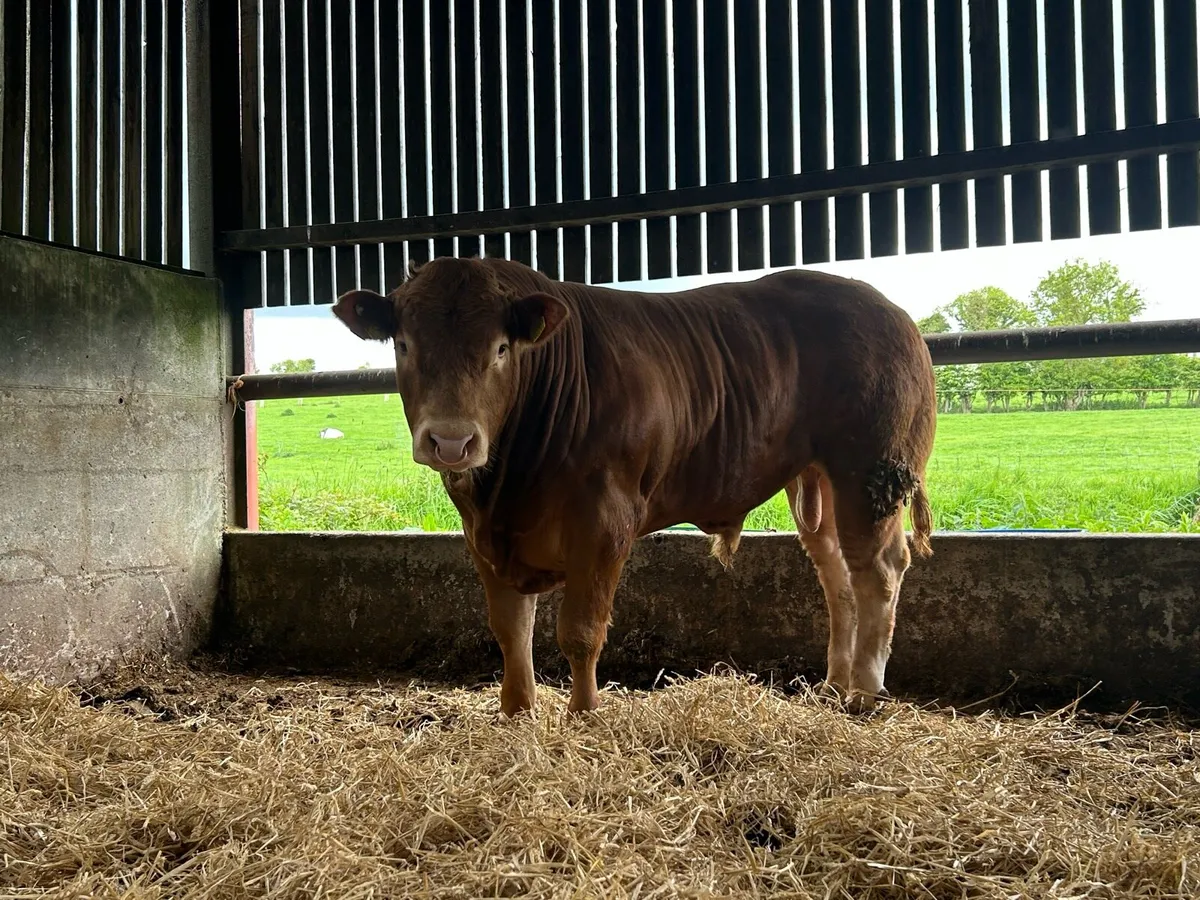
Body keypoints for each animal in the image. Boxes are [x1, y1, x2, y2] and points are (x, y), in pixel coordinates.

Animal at [332, 256, 936, 716]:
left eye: (502, 349)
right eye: (403, 345)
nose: (452, 441)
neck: (509, 485)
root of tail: (891, 311)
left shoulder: (605, 518)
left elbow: (579, 630)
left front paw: (585, 715)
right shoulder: (483, 533)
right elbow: (510, 629)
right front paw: (517, 714)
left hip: (871, 468)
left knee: (878, 569)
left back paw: (864, 693)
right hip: (818, 481)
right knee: (837, 572)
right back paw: (833, 685)